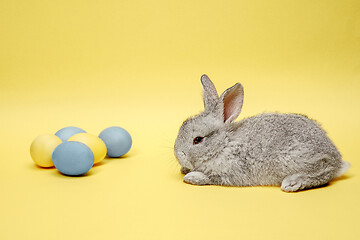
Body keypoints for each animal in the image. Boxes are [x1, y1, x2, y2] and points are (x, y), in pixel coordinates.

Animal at [173, 74, 350, 192]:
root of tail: (337, 159)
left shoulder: (229, 172)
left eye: (197, 140)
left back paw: (292, 183)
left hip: (295, 158)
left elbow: (210, 178)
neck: (224, 144)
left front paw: (191, 177)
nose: (178, 154)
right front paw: (185, 170)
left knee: (324, 172)